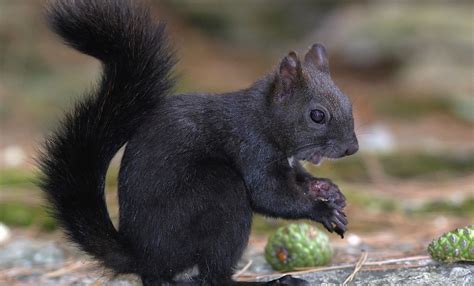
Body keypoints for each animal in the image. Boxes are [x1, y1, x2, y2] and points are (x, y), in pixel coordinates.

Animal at [39, 0, 360, 286]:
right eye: (317, 115)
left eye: (349, 102)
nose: (352, 149)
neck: (265, 119)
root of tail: (142, 255)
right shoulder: (251, 147)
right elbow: (269, 196)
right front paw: (322, 210)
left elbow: (299, 179)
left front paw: (327, 189)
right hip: (220, 194)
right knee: (210, 277)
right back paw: (272, 281)